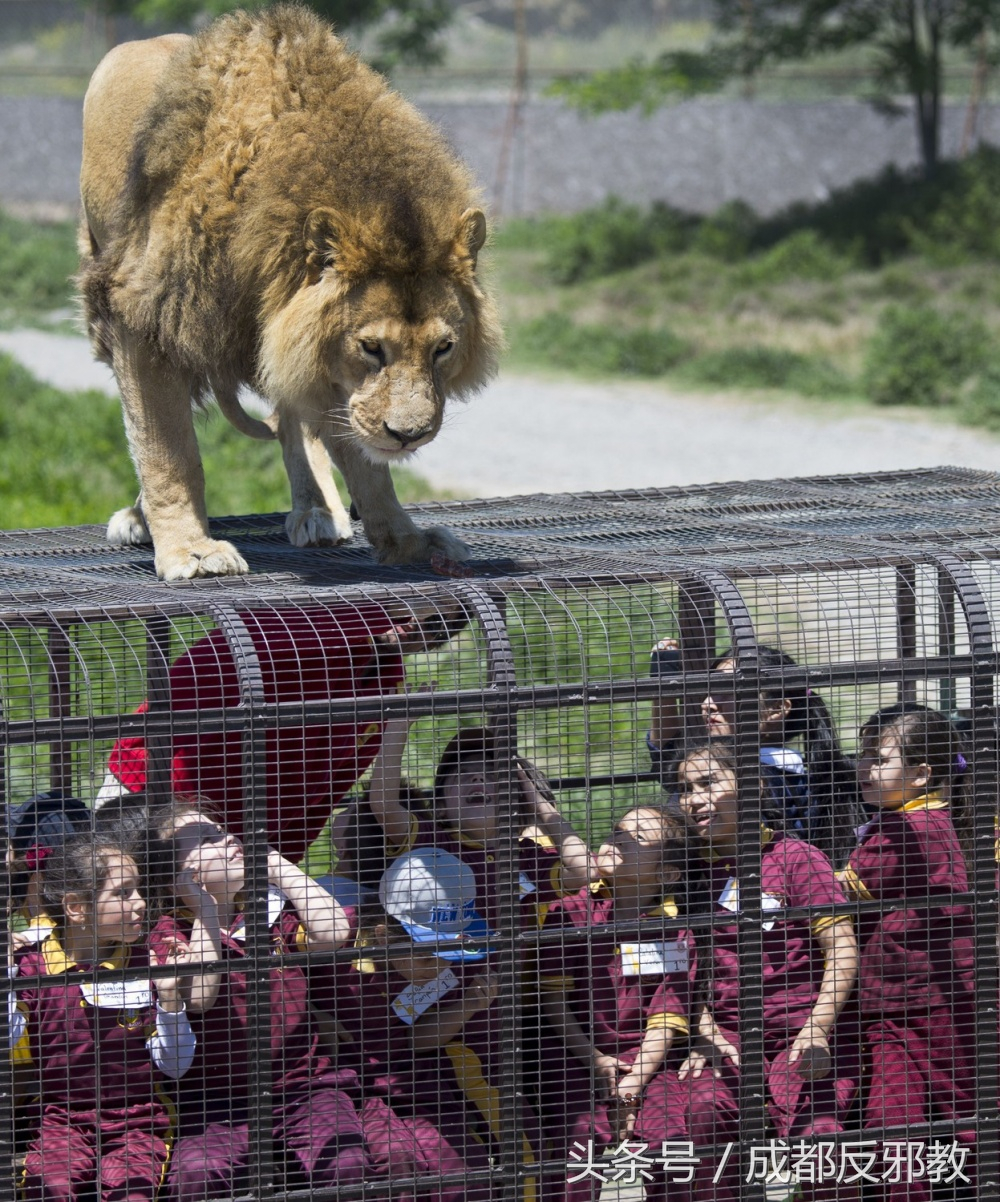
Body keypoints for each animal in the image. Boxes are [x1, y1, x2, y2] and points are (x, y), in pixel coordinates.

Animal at [76, 2, 500, 579]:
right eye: (372, 347)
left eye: (444, 348)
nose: (409, 435)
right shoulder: (142, 317)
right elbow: (168, 448)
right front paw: (191, 550)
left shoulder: (319, 355)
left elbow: (365, 462)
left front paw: (405, 540)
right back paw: (143, 519)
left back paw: (318, 510)